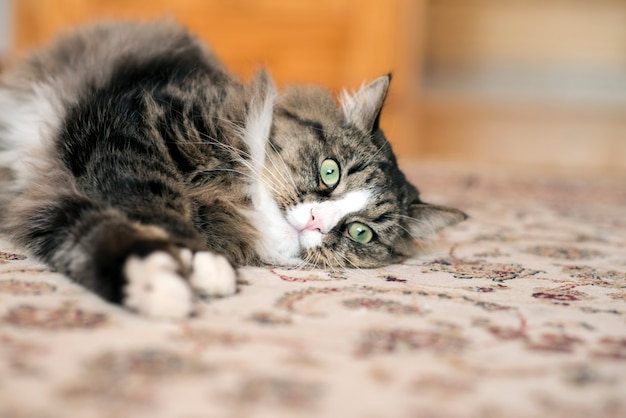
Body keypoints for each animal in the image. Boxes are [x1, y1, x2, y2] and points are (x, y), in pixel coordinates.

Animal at [0, 20, 464, 320]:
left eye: (360, 232)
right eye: (330, 172)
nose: (315, 221)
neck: (239, 200)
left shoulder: (48, 202)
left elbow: (97, 240)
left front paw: (161, 286)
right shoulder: (123, 127)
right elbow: (154, 196)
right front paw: (194, 259)